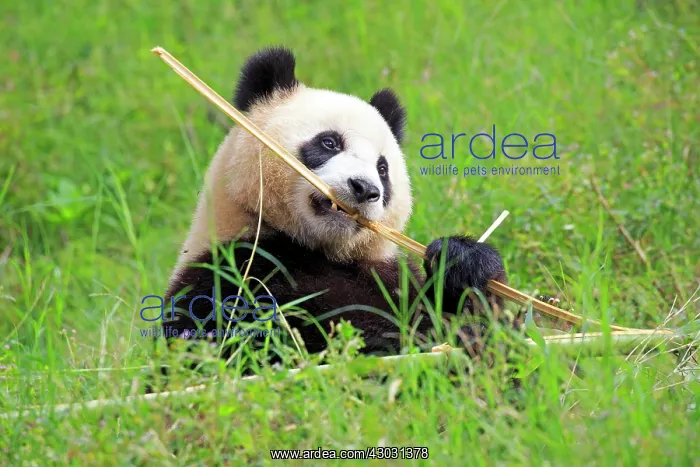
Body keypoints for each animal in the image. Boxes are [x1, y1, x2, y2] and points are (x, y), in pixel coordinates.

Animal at [162, 46, 515, 361]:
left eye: (382, 168)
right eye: (329, 143)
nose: (364, 189)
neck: (321, 250)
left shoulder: (388, 273)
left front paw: (463, 263)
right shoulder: (226, 271)